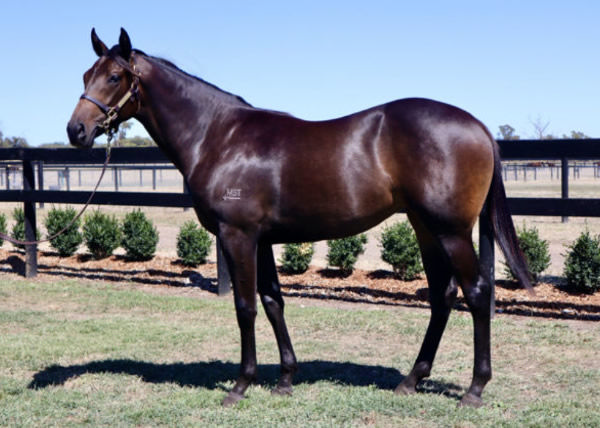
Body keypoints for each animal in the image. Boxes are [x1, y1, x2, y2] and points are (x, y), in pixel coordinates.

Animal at [68, 27, 532, 408]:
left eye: (114, 77)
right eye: (86, 74)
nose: (76, 131)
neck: (218, 136)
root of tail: (479, 126)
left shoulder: (237, 236)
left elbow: (245, 307)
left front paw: (241, 385)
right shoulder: (262, 240)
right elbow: (273, 302)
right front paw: (285, 379)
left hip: (450, 231)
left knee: (476, 292)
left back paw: (474, 389)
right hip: (425, 228)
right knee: (442, 295)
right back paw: (411, 381)